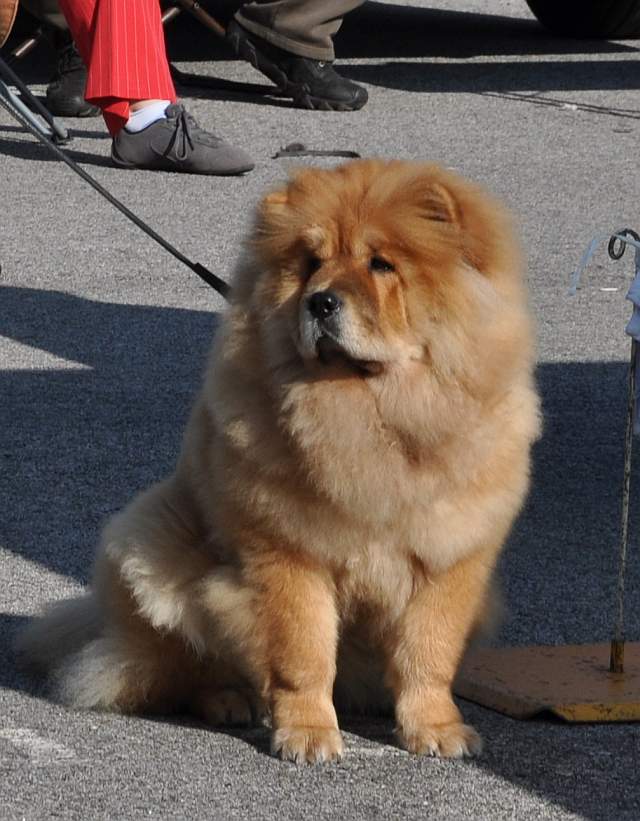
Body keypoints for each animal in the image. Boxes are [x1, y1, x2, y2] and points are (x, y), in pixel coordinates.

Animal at [18, 159, 540, 764]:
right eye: (312, 264)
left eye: (381, 264)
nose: (320, 301)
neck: (371, 412)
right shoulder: (290, 553)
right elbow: (304, 652)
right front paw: (308, 735)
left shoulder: (449, 559)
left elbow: (428, 653)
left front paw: (436, 729)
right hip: (152, 546)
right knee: (179, 668)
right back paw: (231, 701)